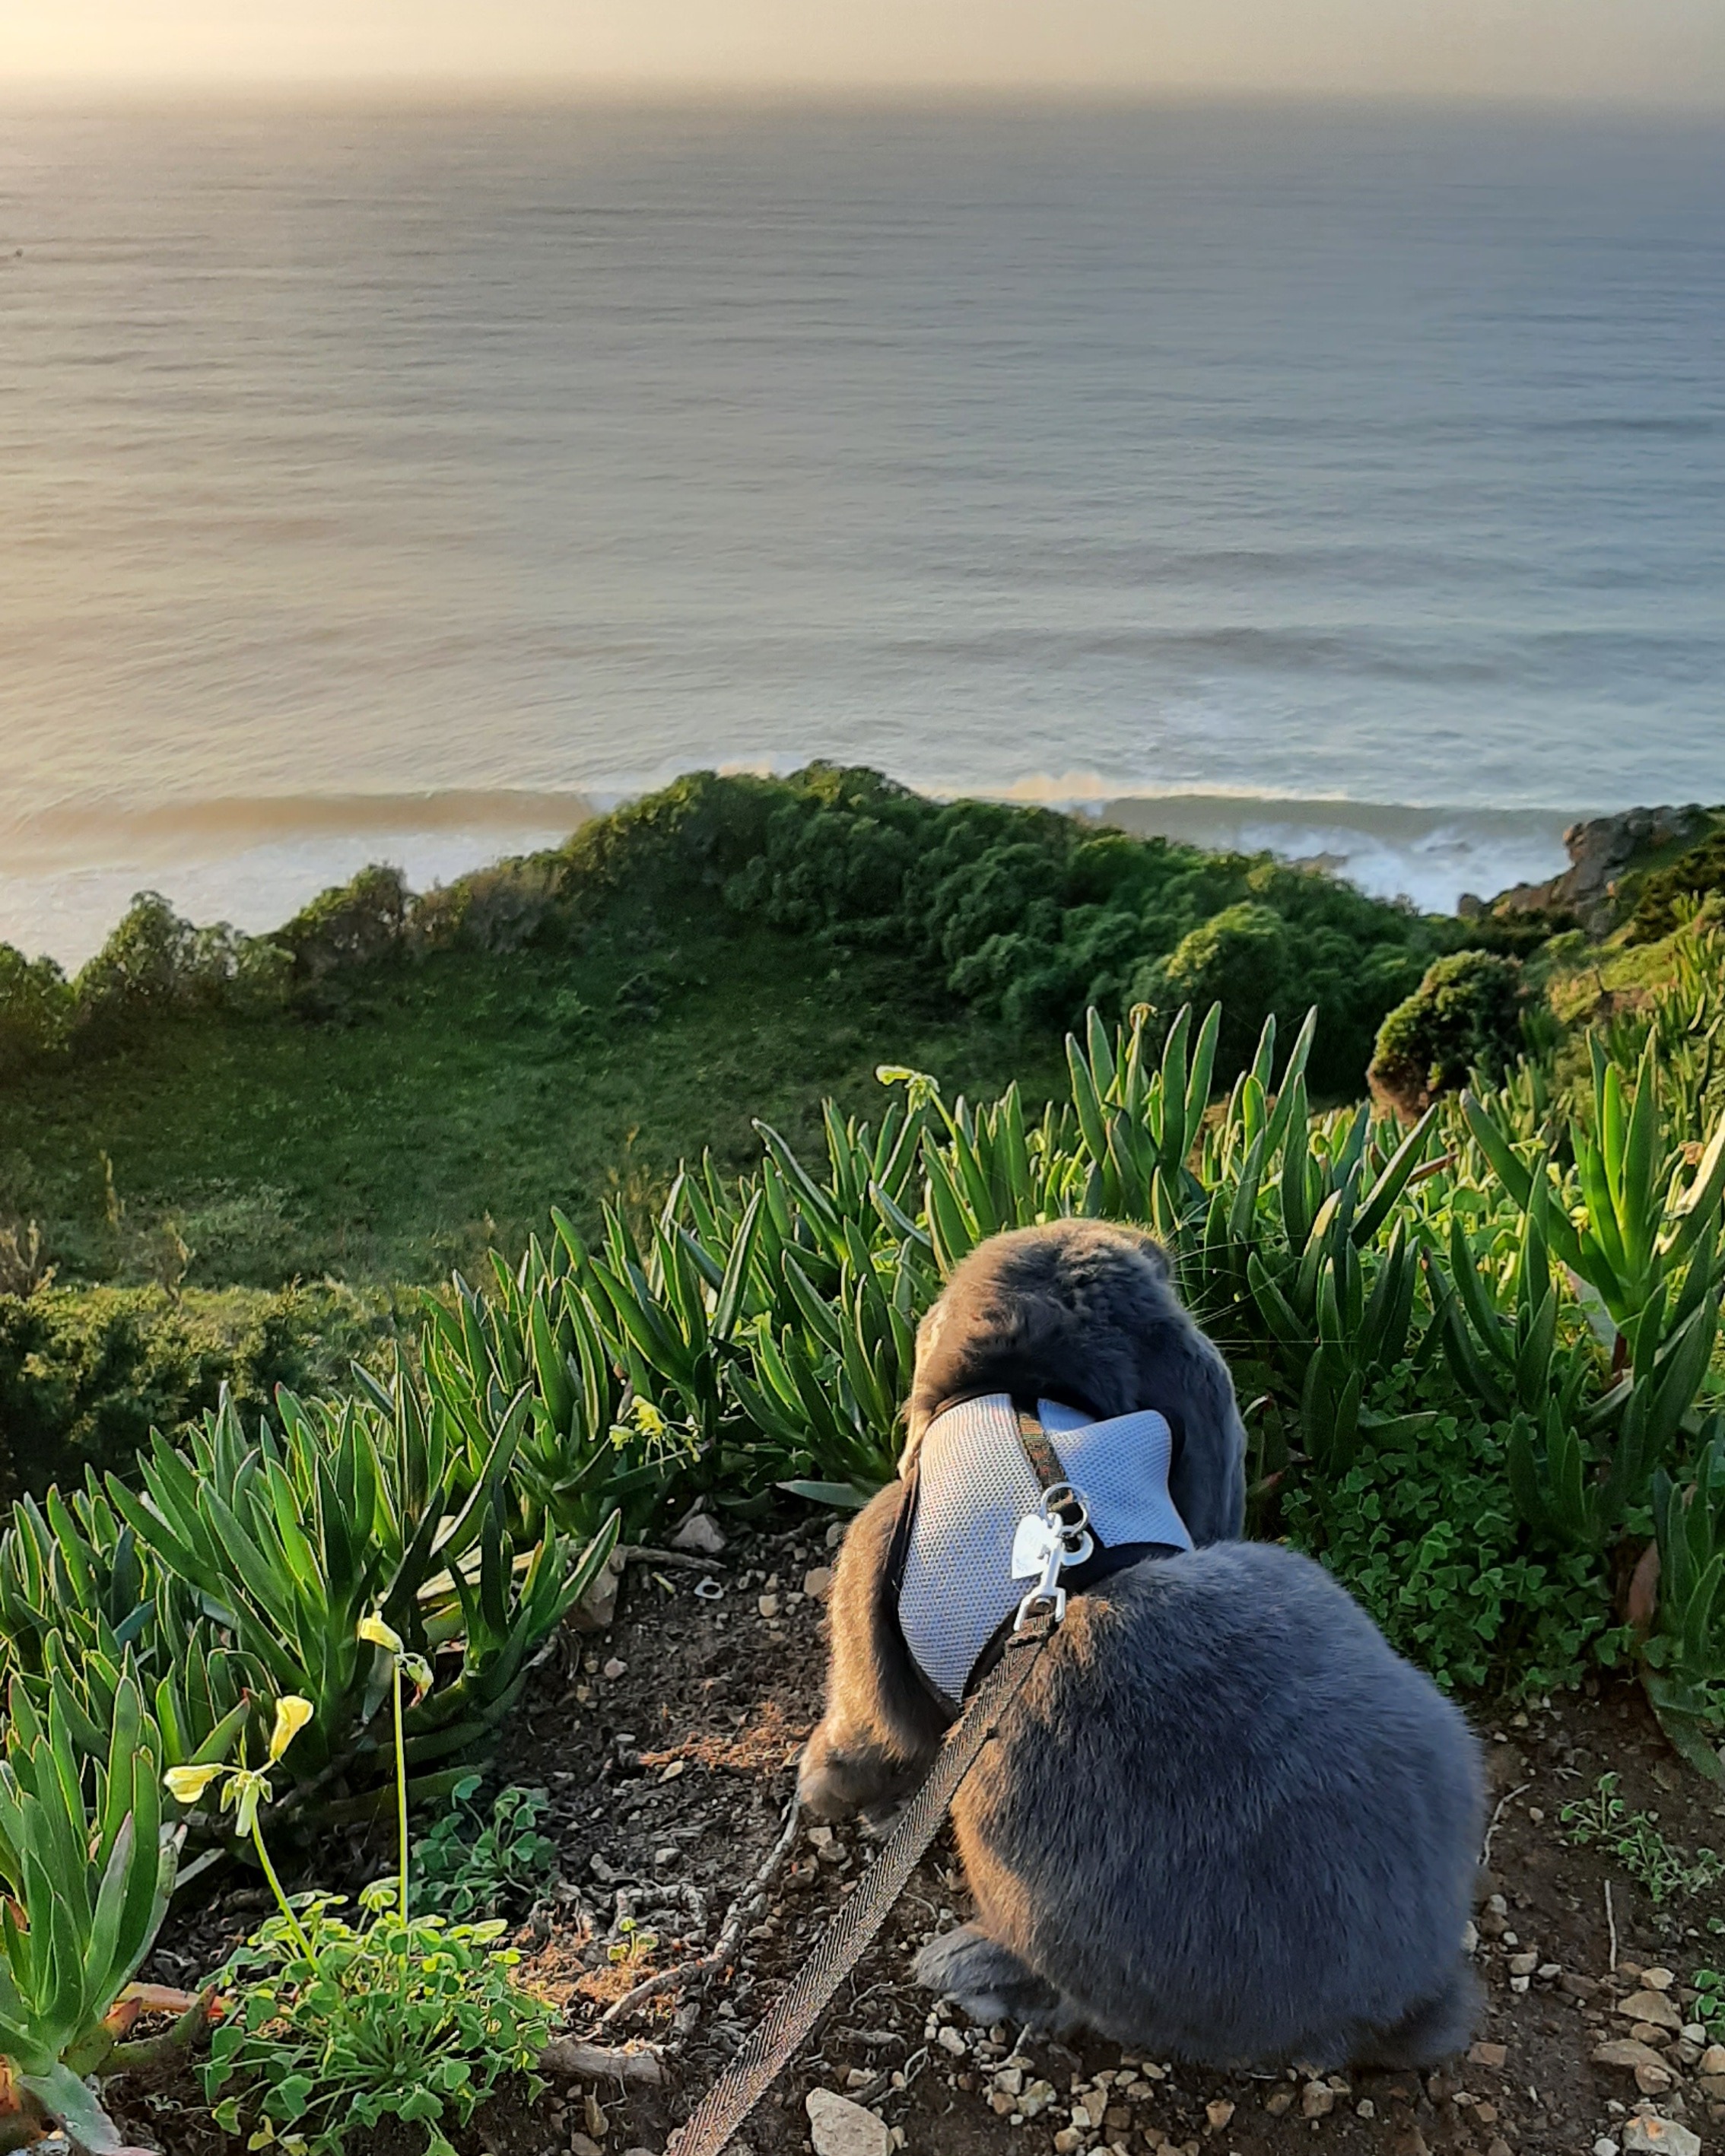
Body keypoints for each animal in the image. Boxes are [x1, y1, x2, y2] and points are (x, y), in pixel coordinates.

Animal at [798, 1221, 1485, 2070]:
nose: (1137, 1235)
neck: (1034, 1405)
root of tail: (1382, 2003)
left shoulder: (877, 1555)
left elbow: (869, 1723)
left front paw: (828, 1792)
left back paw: (966, 1965)